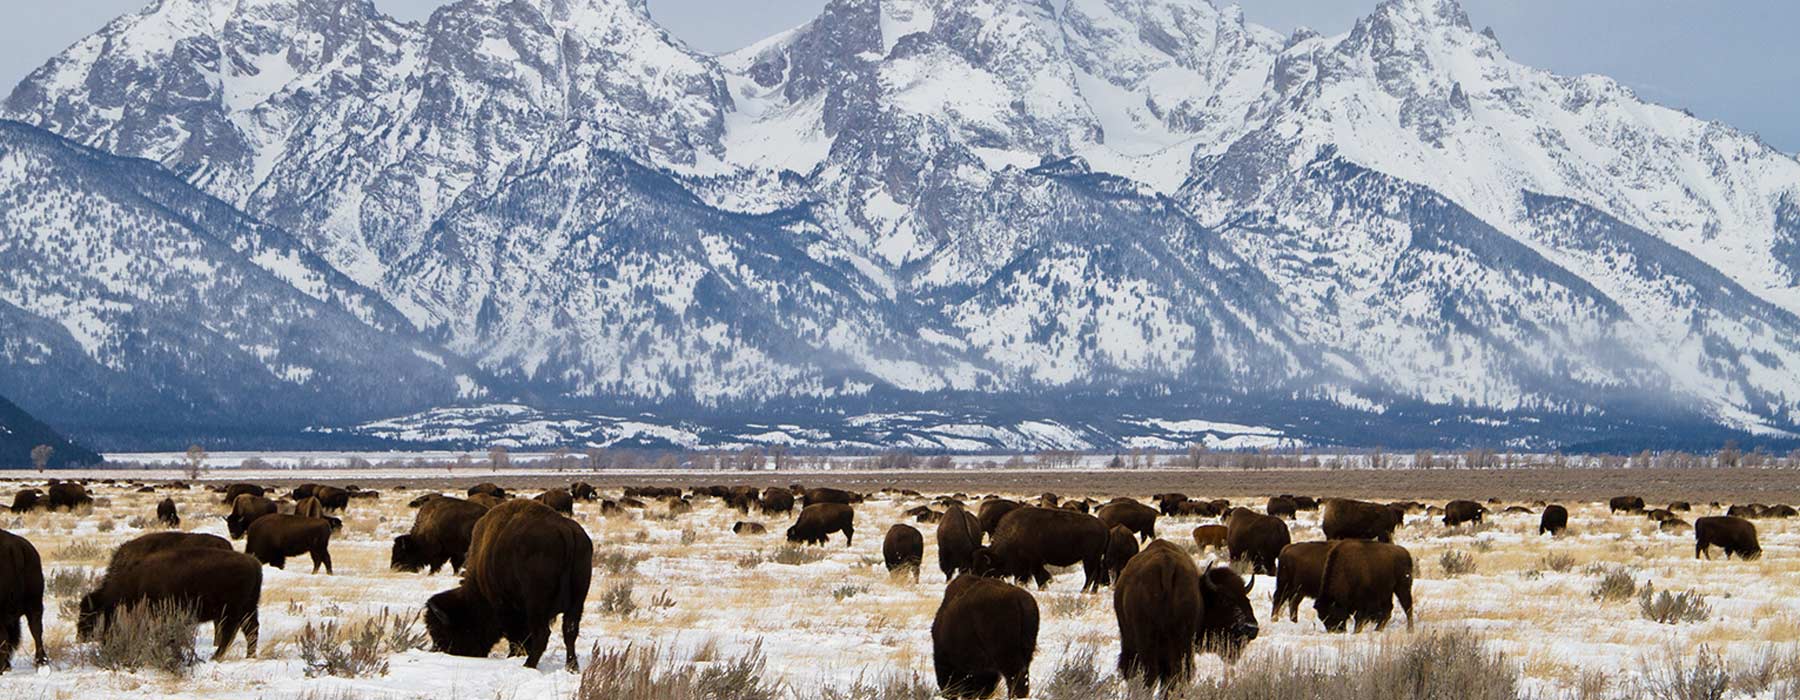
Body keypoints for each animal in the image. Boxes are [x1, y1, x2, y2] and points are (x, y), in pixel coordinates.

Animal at [74, 547, 261, 658]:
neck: (134, 582)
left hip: (231, 611)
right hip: (248, 609)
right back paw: (248, 656)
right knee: (251, 629)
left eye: (89, 615)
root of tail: (254, 563)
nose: (80, 637)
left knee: (231, 632)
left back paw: (217, 657)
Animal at [421, 500, 590, 669]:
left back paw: (529, 664)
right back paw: (572, 667)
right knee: (570, 631)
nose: (438, 649)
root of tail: (565, 530)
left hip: (537, 604)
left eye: (441, 631)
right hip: (577, 601)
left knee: (542, 633)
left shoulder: (505, 606)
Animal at [972, 503, 1108, 590]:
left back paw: (1083, 591)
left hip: (1089, 559)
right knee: (1097, 573)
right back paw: (1093, 591)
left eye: (985, 568)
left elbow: (1039, 577)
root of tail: (1104, 527)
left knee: (1091, 574)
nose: (978, 581)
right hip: (1094, 559)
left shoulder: (1034, 563)